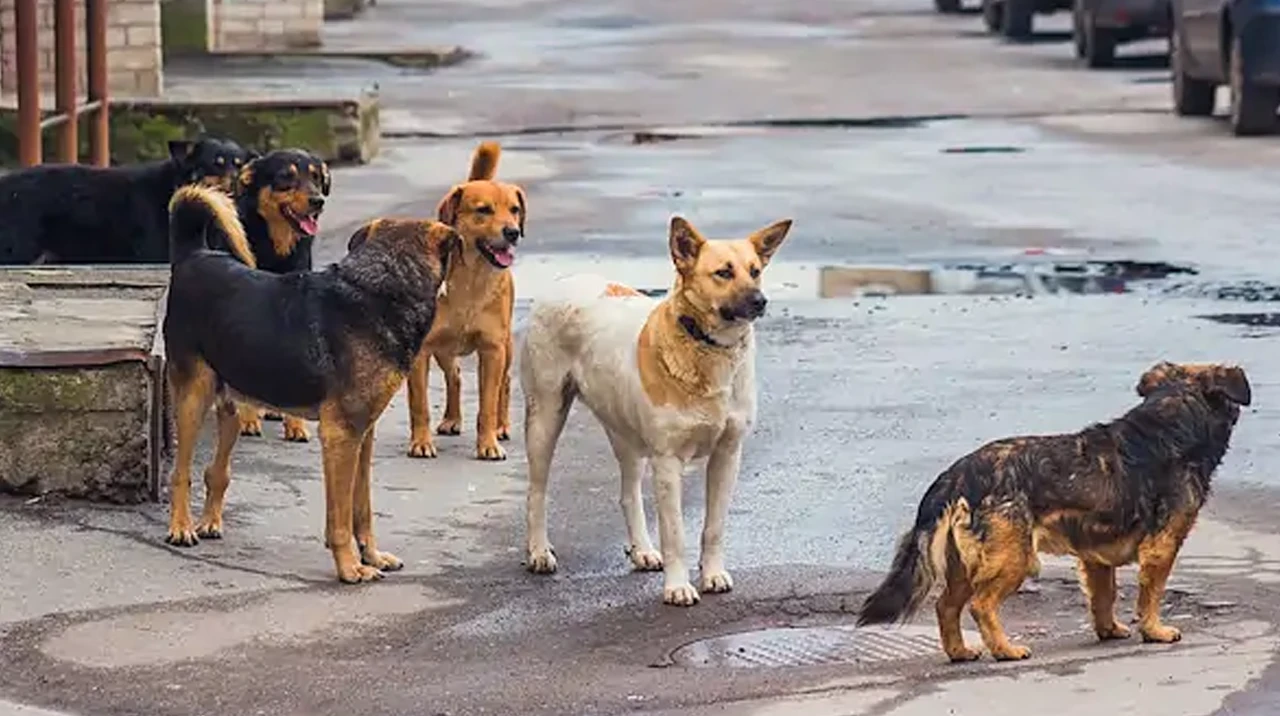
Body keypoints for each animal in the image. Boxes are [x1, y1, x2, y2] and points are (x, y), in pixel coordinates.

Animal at [0, 137, 253, 266]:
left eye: (239, 164)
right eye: (216, 163)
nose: (238, 180)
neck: (175, 186)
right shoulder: (158, 252)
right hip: (19, 249)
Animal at [162, 183, 458, 584]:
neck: (380, 290)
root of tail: (194, 255)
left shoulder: (363, 435)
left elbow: (361, 507)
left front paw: (372, 556)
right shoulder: (341, 436)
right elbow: (340, 517)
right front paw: (349, 567)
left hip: (232, 404)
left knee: (216, 470)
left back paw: (209, 521)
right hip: (193, 396)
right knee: (180, 472)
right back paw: (181, 527)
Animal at [517, 212, 788, 604]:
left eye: (755, 271)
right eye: (723, 272)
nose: (760, 301)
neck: (706, 347)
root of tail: (565, 281)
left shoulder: (728, 455)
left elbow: (714, 527)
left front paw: (712, 574)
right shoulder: (668, 461)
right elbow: (675, 534)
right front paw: (677, 587)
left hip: (625, 432)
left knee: (628, 494)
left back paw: (642, 550)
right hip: (545, 418)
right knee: (536, 491)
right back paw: (539, 551)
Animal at [860, 363, 1249, 666]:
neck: (1170, 422)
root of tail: (957, 474)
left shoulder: (1095, 558)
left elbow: (1104, 597)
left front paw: (1108, 631)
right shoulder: (1162, 547)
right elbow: (1151, 594)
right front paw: (1154, 631)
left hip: (965, 565)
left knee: (945, 607)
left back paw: (960, 652)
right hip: (1014, 559)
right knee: (981, 606)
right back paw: (1005, 650)